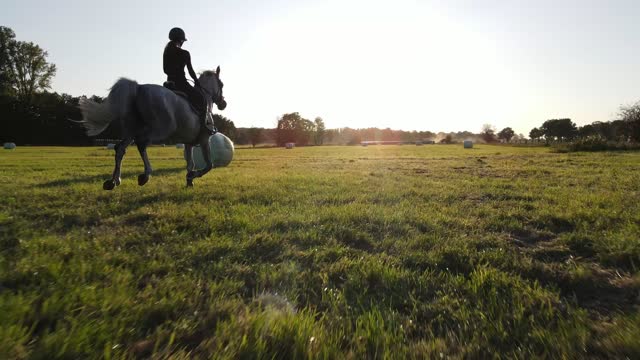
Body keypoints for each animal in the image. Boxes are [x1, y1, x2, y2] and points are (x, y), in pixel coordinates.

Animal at [79, 66, 226, 188]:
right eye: (221, 84)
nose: (223, 104)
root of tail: (139, 88)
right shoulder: (204, 140)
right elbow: (209, 165)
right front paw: (193, 176)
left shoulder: (188, 143)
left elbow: (191, 163)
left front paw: (189, 181)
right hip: (160, 130)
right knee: (141, 143)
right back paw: (145, 175)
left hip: (131, 131)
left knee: (120, 148)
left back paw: (113, 181)